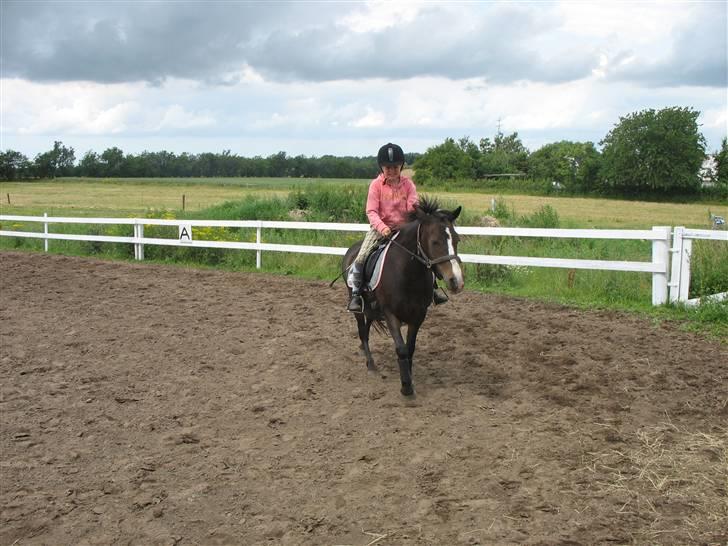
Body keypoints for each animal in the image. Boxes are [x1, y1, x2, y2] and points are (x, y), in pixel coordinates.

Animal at [342, 198, 466, 394]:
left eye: (457, 240)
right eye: (434, 242)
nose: (456, 281)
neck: (407, 274)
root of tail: (351, 250)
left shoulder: (418, 315)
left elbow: (410, 348)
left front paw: (409, 375)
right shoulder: (390, 314)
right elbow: (401, 349)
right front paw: (406, 386)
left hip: (371, 308)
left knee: (367, 329)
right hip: (359, 309)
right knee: (362, 332)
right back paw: (370, 363)